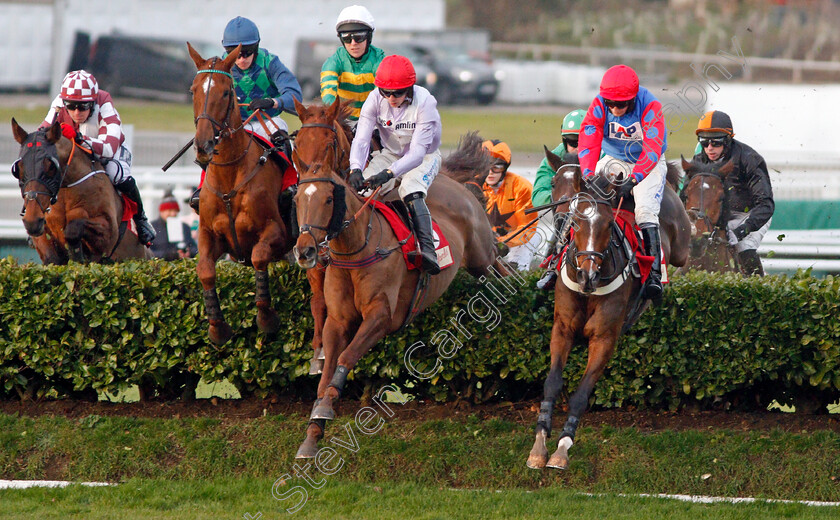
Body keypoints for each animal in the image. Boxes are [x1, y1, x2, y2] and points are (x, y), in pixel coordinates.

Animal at [9, 118, 151, 264]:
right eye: (18, 168)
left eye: (51, 166)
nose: (31, 221)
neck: (66, 192)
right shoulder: (44, 231)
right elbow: (51, 257)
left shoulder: (109, 234)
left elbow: (74, 228)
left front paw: (77, 255)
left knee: (125, 180)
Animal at [189, 44, 300, 346]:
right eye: (193, 90)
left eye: (226, 92)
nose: (203, 145)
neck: (230, 178)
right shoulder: (209, 235)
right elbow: (205, 271)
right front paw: (217, 328)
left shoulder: (275, 231)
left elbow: (259, 256)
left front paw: (267, 318)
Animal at [292, 136, 508, 458]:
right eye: (296, 200)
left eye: (329, 199)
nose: (304, 251)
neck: (358, 249)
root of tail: (452, 180)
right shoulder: (337, 321)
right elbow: (327, 368)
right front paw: (313, 432)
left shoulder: (382, 316)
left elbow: (346, 356)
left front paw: (326, 408)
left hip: (480, 254)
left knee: (498, 261)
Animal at [528, 147, 692, 472]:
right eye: (576, 224)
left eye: (606, 226)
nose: (588, 274)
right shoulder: (562, 329)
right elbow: (552, 383)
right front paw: (539, 445)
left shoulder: (604, 338)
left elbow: (581, 395)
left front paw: (562, 448)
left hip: (679, 242)